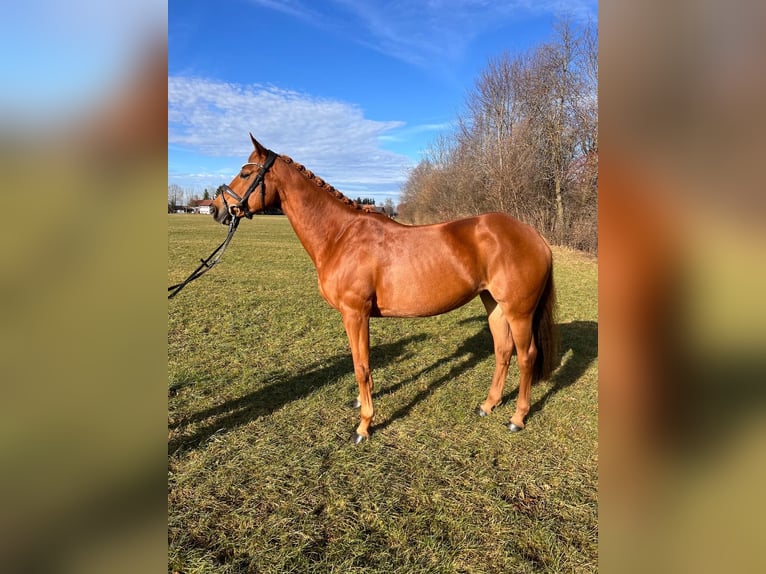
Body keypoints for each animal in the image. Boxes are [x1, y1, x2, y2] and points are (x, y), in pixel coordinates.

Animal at [210, 135, 560, 446]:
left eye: (245, 173)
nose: (216, 209)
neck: (340, 236)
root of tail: (535, 236)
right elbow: (359, 361)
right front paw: (360, 404)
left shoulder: (355, 313)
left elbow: (361, 366)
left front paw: (364, 425)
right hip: (494, 305)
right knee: (503, 350)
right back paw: (487, 405)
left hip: (519, 311)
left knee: (526, 356)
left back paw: (517, 418)